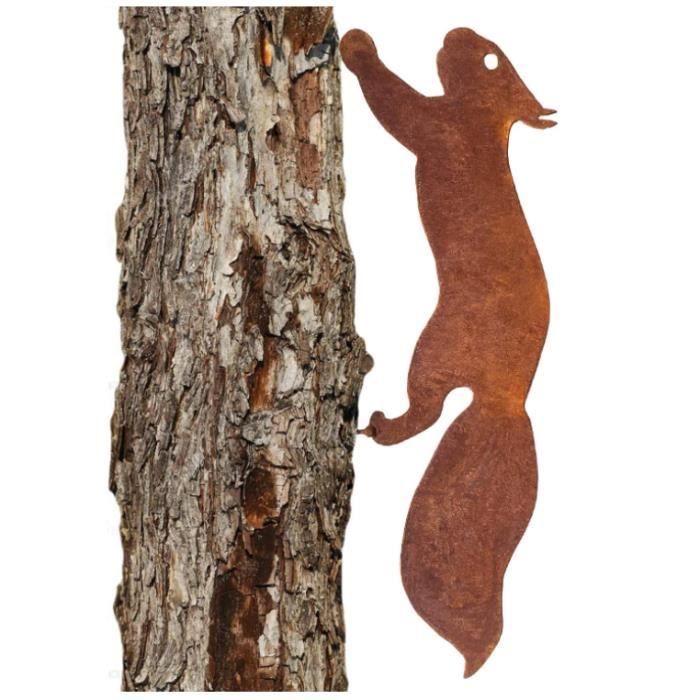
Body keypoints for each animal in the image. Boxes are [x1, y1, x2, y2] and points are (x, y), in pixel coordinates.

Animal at [340, 27, 554, 677]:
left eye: (489, 58)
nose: (455, 32)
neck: (485, 122)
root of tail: (506, 400)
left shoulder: (439, 126)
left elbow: (397, 106)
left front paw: (357, 48)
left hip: (433, 350)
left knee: (426, 412)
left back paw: (378, 426)